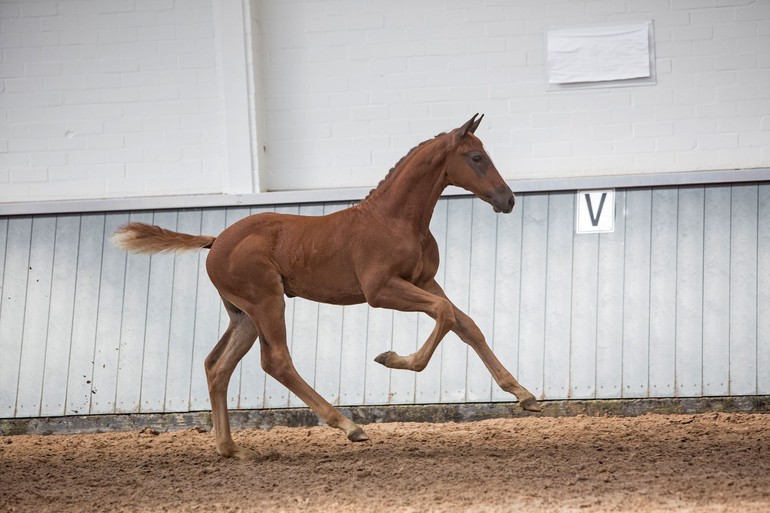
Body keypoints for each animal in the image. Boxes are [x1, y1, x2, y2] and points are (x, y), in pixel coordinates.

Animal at [114, 114, 540, 458]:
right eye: (477, 158)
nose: (508, 200)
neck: (396, 219)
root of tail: (215, 241)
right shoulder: (380, 290)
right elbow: (445, 314)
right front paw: (391, 358)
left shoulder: (424, 280)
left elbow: (466, 324)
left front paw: (524, 395)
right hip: (267, 302)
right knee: (276, 361)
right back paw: (349, 426)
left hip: (244, 316)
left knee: (217, 366)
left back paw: (232, 449)